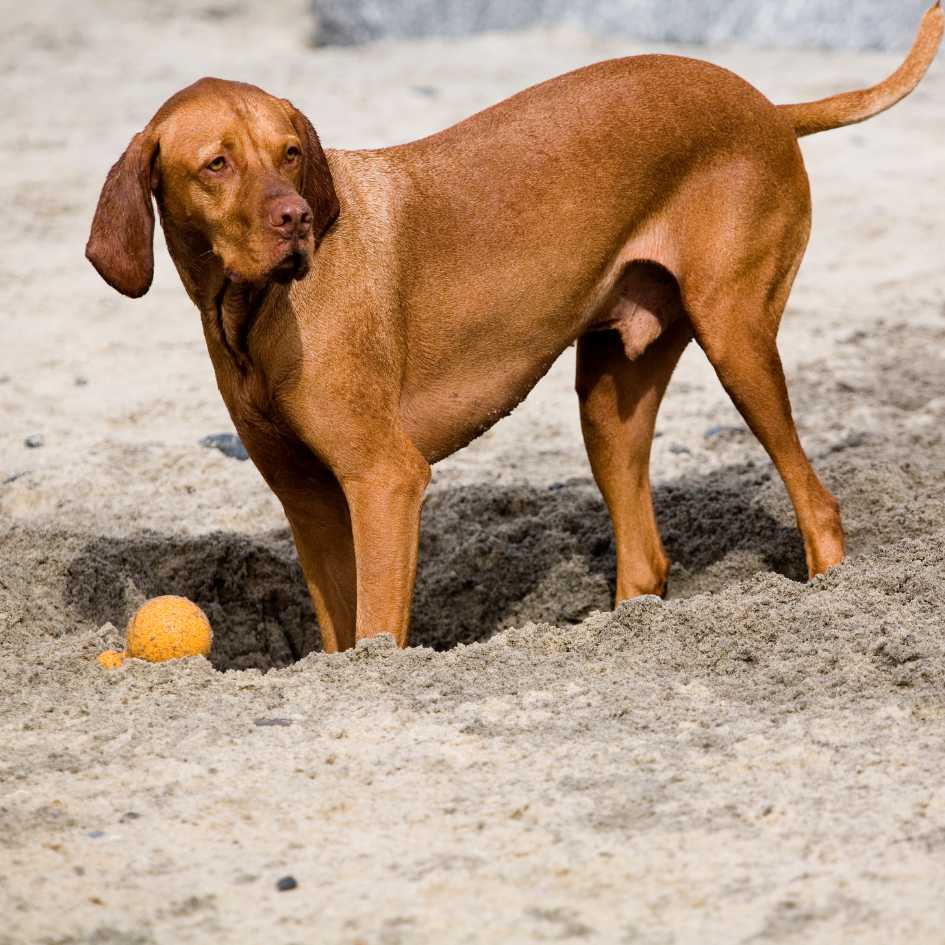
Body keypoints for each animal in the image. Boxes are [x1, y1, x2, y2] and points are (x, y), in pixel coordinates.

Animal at [86, 3, 936, 648]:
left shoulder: (384, 479)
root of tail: (767, 106)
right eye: (216, 163)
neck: (252, 310)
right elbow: (339, 637)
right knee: (644, 559)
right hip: (609, 395)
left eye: (290, 153)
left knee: (817, 503)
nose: (296, 218)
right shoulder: (308, 499)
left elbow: (377, 632)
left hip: (737, 340)